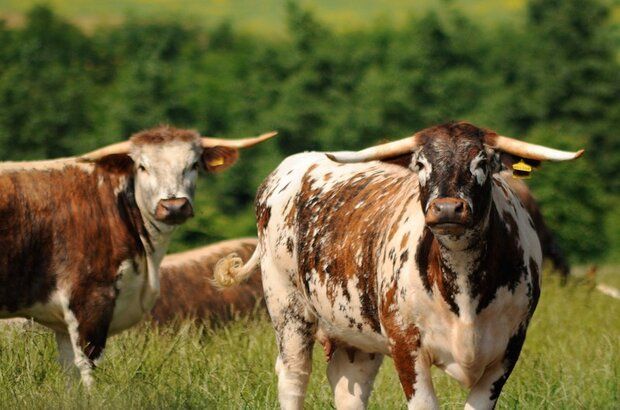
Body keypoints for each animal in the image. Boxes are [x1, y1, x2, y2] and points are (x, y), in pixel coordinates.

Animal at [0, 124, 276, 384]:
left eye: (194, 164)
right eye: (142, 167)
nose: (174, 206)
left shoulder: (62, 321)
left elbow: (70, 375)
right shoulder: (89, 299)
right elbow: (87, 367)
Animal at [216, 122, 584, 410]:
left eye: (482, 161)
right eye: (420, 163)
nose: (447, 208)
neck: (464, 285)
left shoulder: (506, 351)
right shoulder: (407, 347)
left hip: (354, 333)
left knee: (348, 389)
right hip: (288, 311)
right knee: (293, 377)